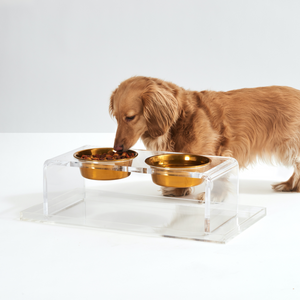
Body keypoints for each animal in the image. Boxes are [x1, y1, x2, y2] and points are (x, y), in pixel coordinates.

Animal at [109, 75, 300, 196]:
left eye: (130, 117)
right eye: (116, 117)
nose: (116, 148)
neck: (181, 119)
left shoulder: (218, 155)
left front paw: (213, 198)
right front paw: (178, 191)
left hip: (290, 146)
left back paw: (289, 185)